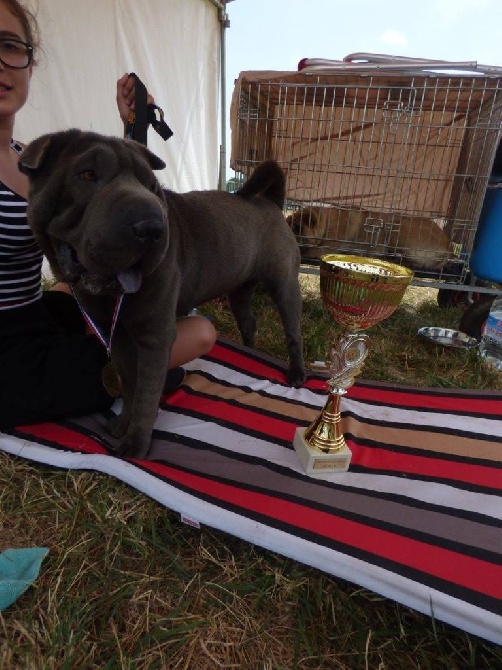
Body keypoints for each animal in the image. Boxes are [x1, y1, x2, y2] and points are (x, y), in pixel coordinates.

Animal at [19, 129, 306, 460]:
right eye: (87, 174)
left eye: (152, 187)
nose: (152, 228)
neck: (112, 298)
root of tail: (270, 202)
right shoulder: (116, 335)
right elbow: (130, 385)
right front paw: (122, 424)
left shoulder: (155, 339)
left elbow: (145, 393)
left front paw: (135, 444)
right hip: (240, 291)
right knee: (248, 323)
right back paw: (250, 353)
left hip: (284, 286)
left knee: (293, 332)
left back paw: (297, 374)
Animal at [286, 205, 458, 272]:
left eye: (297, 228)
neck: (326, 222)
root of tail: (449, 247)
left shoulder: (324, 248)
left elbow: (307, 250)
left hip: (398, 228)